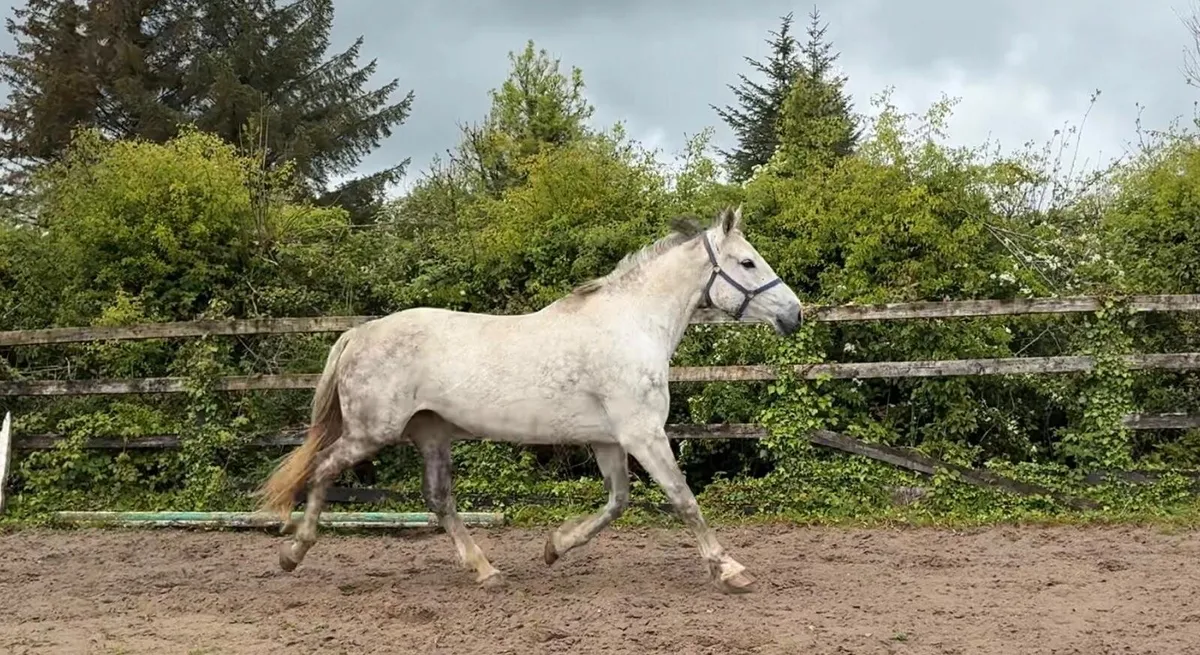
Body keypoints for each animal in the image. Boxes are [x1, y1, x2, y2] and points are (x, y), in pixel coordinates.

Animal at [256, 205, 802, 594]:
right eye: (747, 262)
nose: (795, 314)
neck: (631, 326)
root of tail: (358, 334)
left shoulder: (609, 441)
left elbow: (617, 503)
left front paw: (554, 547)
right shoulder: (643, 435)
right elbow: (684, 499)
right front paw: (730, 570)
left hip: (430, 432)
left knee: (439, 500)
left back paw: (487, 571)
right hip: (373, 431)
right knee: (324, 469)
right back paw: (292, 554)